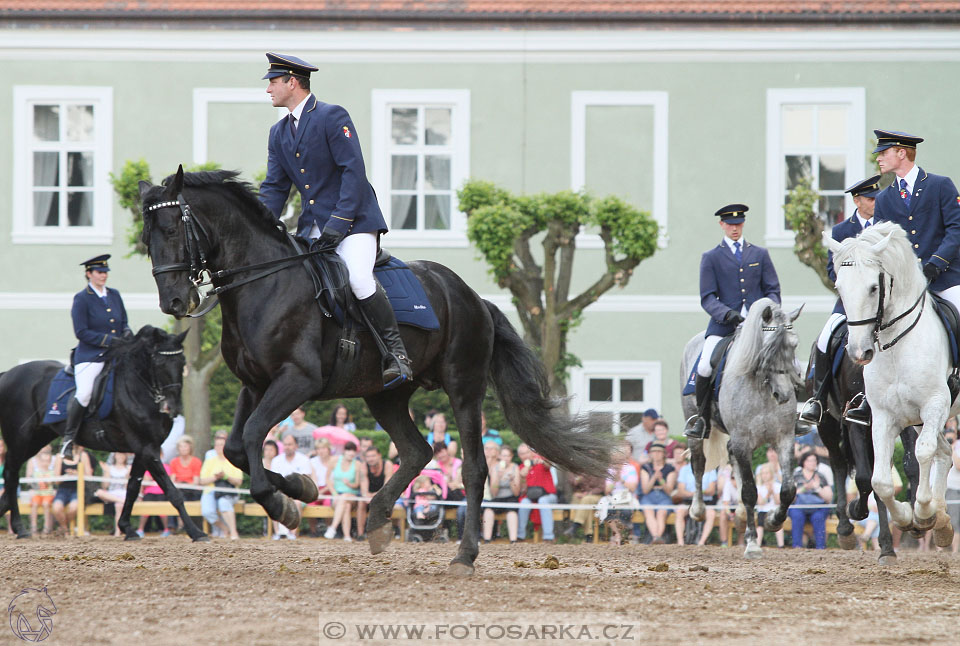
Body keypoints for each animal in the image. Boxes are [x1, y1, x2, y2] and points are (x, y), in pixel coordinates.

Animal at [0, 326, 204, 544]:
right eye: (158, 362)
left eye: (182, 362)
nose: (173, 407)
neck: (139, 388)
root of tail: (7, 374)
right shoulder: (147, 448)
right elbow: (172, 491)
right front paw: (196, 532)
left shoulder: (145, 449)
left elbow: (132, 488)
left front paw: (127, 529)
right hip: (20, 438)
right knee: (12, 474)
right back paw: (20, 528)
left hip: (37, 439)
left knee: (11, 476)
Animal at [138, 168, 612, 576]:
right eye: (146, 238)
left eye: (172, 230)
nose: (174, 302)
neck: (264, 282)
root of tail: (474, 297)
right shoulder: (254, 385)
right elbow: (237, 448)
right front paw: (302, 489)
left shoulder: (296, 381)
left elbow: (254, 436)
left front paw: (281, 505)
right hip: (385, 395)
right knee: (418, 451)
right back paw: (379, 520)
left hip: (463, 388)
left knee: (474, 468)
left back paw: (464, 555)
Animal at [680, 298, 808, 556]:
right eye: (766, 348)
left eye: (794, 345)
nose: (785, 395)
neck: (763, 389)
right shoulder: (742, 441)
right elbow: (750, 491)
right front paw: (752, 544)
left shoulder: (784, 439)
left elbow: (788, 490)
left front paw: (773, 521)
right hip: (696, 429)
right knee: (698, 464)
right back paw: (698, 511)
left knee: (730, 457)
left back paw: (739, 514)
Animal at [804, 340, 924, 568]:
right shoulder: (856, 425)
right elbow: (862, 478)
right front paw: (856, 510)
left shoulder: (902, 421)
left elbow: (911, 467)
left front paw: (914, 522)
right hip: (828, 426)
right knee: (839, 465)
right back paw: (845, 528)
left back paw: (887, 547)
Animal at [824, 223, 952, 548]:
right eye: (839, 288)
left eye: (873, 287)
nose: (859, 352)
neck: (897, 345)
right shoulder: (883, 415)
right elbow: (879, 480)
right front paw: (907, 519)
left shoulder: (935, 404)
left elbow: (922, 453)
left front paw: (922, 513)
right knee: (945, 454)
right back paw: (943, 524)